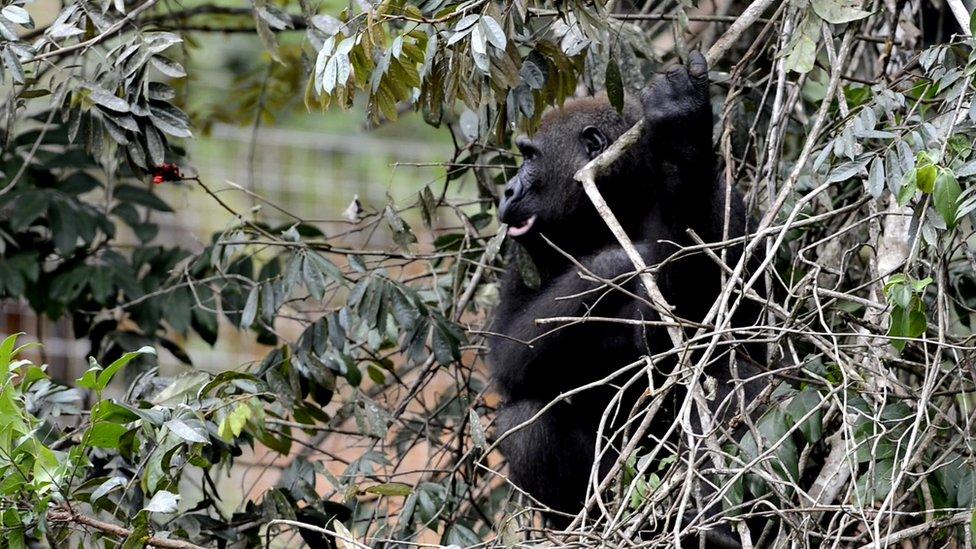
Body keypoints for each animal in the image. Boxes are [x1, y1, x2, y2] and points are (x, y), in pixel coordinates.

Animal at [492, 52, 768, 544]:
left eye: (530, 157)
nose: (507, 190)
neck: (623, 201)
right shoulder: (520, 254)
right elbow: (509, 350)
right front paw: (625, 257)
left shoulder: (727, 204)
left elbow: (710, 340)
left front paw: (680, 130)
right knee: (523, 420)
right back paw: (589, 523)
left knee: (731, 379)